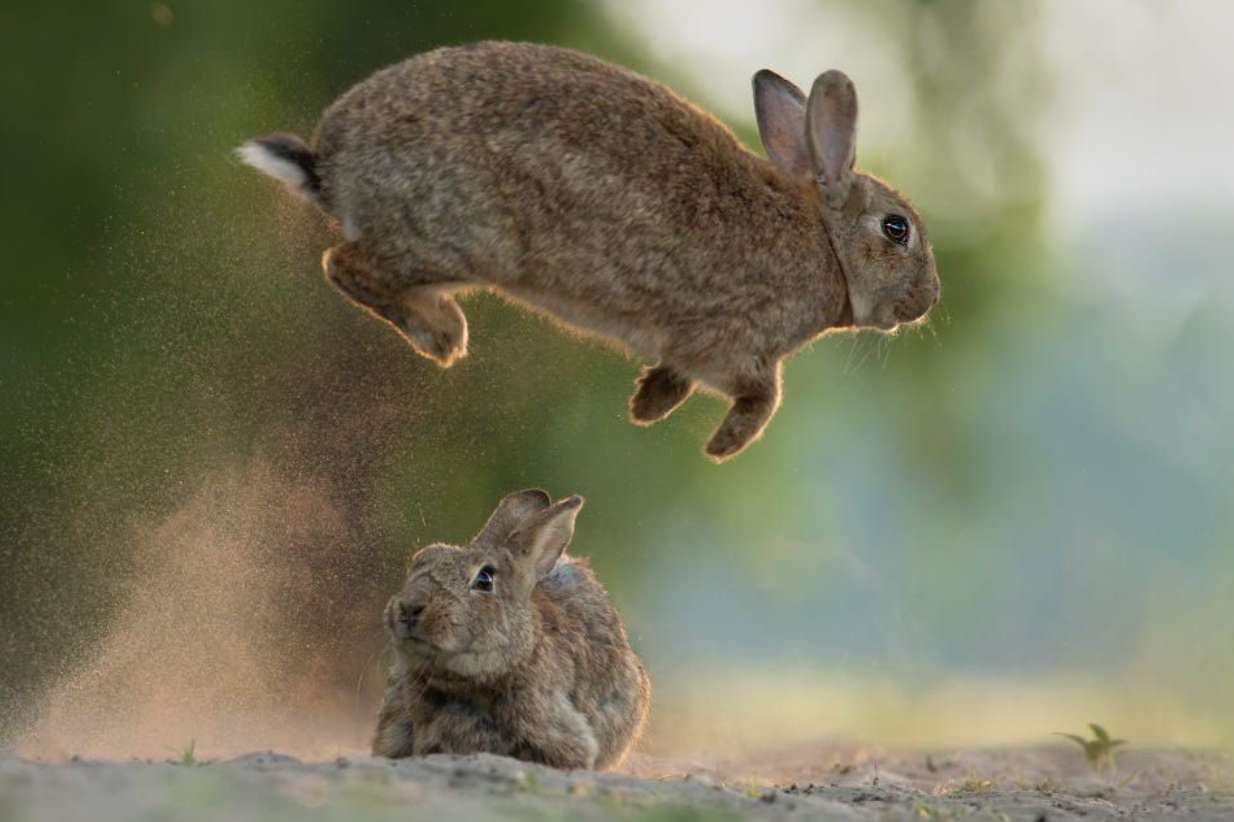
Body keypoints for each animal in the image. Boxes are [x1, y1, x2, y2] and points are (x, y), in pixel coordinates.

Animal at [238, 41, 932, 456]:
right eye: (896, 229)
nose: (926, 300)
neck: (827, 243)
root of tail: (329, 165)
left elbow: (678, 376)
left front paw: (646, 406)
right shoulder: (736, 345)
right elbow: (763, 397)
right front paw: (721, 444)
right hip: (465, 238)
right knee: (345, 266)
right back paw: (443, 335)